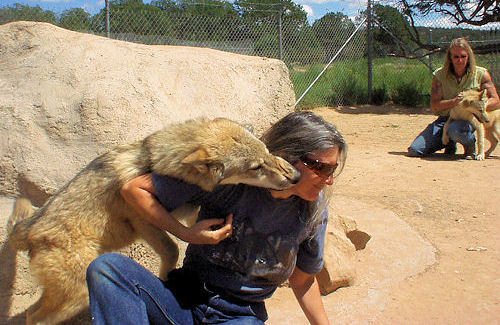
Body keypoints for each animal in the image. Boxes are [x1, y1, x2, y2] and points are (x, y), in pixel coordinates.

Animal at [6, 117, 300, 324]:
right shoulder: (143, 219)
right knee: (34, 318)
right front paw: (165, 281)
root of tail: (28, 228)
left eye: (268, 152)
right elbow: (172, 249)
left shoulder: (182, 213)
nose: (296, 176)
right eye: (255, 168)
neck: (153, 160)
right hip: (77, 295)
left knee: (30, 314)